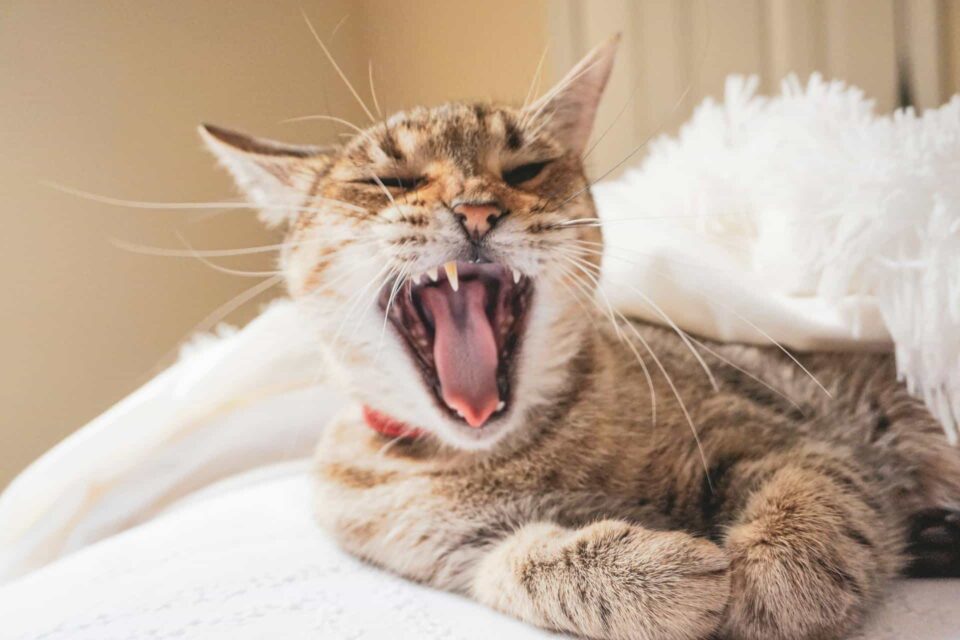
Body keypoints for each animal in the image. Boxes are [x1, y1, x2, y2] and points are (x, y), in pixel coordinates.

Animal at [202, 38, 960, 640]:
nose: (477, 208)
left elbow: (813, 497)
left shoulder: (789, 431)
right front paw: (660, 576)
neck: (511, 452)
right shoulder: (456, 552)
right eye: (387, 180)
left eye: (524, 169)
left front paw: (777, 577)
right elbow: (524, 564)